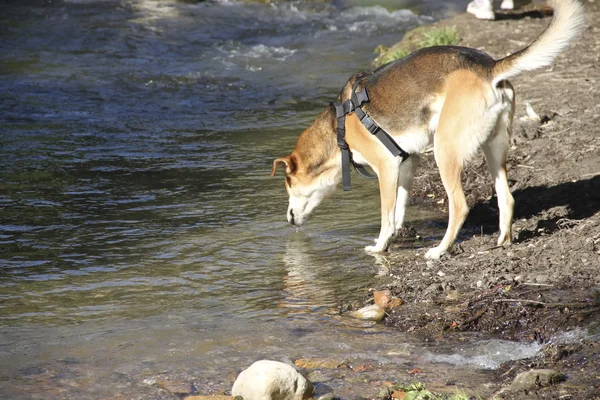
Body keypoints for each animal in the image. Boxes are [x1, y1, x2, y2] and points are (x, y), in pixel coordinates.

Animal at [270, 0, 584, 260]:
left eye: (287, 183)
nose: (287, 219)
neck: (339, 129)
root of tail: (489, 67)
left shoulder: (386, 168)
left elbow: (386, 214)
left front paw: (380, 246)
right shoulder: (407, 163)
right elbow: (399, 210)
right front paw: (395, 236)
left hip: (445, 152)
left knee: (460, 206)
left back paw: (439, 250)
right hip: (493, 149)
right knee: (506, 198)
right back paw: (502, 242)